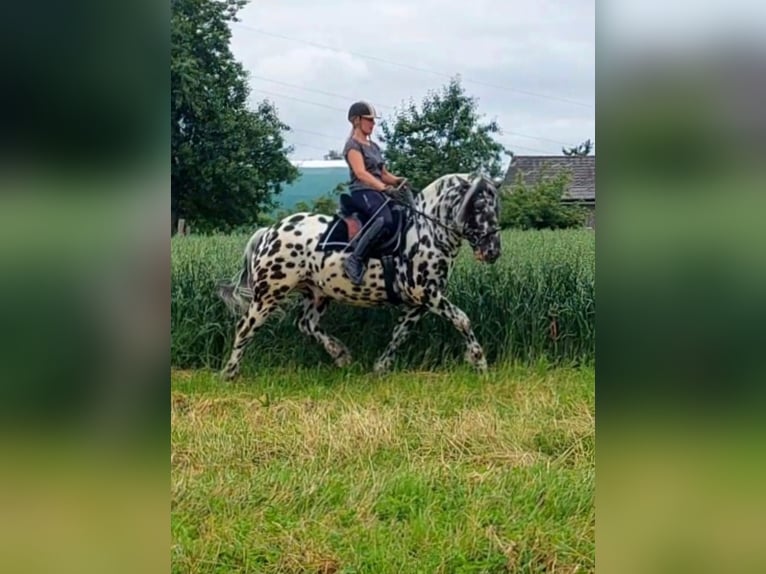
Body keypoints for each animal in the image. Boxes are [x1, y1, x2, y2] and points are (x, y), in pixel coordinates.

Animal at [216, 173, 504, 380]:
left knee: (306, 324)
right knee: (245, 327)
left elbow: (400, 333)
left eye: (496, 206)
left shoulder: (419, 302)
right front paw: (480, 362)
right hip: (268, 294)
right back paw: (229, 373)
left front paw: (380, 367)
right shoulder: (429, 294)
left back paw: (341, 355)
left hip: (317, 294)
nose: (492, 251)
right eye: (478, 204)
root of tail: (269, 231)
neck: (427, 232)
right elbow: (463, 320)